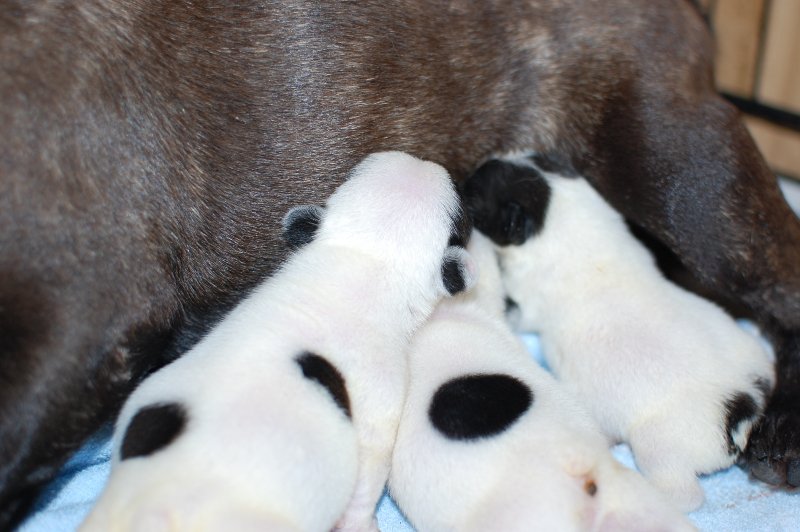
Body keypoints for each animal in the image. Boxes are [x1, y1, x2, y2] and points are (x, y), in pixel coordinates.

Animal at [81, 151, 476, 532]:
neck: (361, 262)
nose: (424, 159)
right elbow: (367, 473)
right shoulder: (380, 396)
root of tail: (153, 509)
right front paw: (361, 525)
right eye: (458, 219)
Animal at [462, 155, 776, 512]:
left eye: (477, 195)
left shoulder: (529, 302)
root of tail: (742, 408)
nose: (473, 169)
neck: (563, 217)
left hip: (660, 447)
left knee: (686, 495)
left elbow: (517, 314)